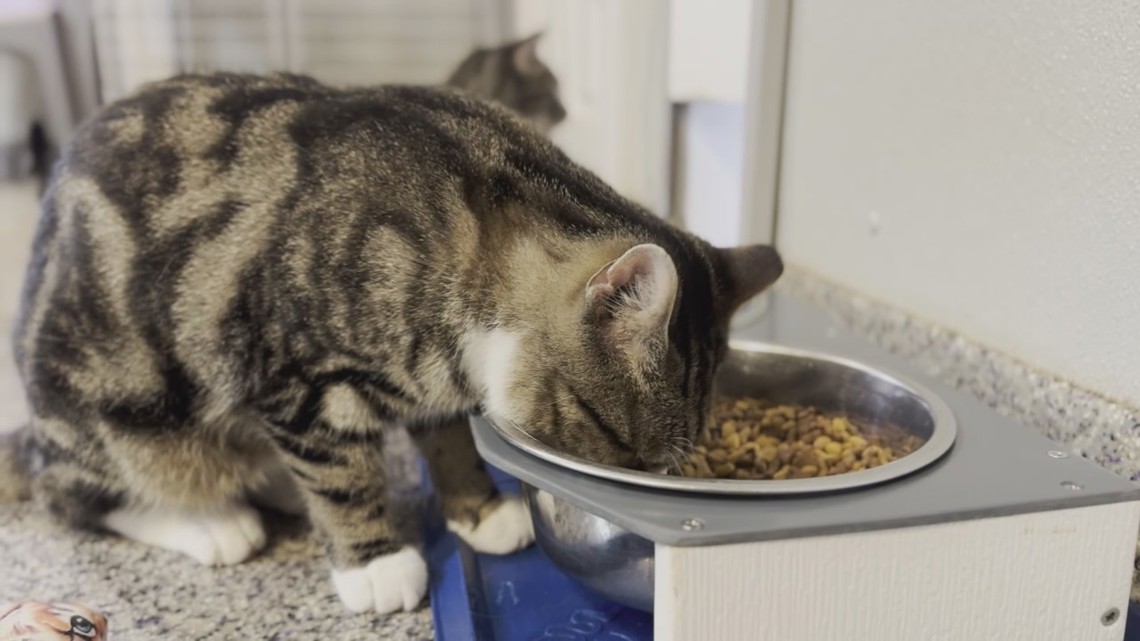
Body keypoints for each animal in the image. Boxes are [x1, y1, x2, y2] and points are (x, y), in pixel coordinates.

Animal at [2, 71, 784, 615]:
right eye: (623, 446)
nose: (632, 483)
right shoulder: (295, 379)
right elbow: (341, 474)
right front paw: (374, 562)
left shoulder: (436, 368)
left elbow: (448, 434)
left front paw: (480, 509)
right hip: (128, 414)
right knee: (72, 492)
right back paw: (214, 522)